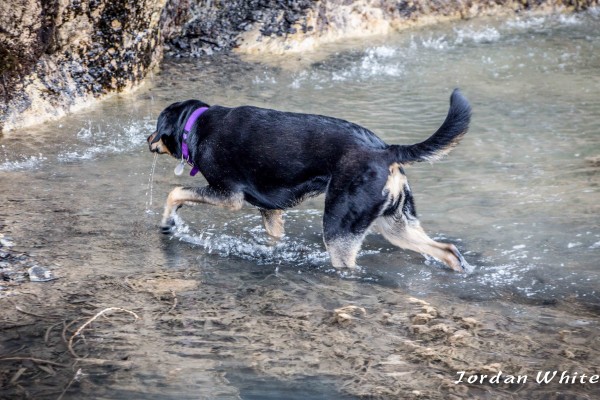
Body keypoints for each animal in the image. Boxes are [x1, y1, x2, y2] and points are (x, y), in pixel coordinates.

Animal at [148, 89, 472, 272]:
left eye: (156, 126)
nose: (148, 139)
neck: (195, 126)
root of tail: (385, 149)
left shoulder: (228, 195)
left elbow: (175, 192)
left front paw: (168, 223)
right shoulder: (270, 211)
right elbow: (274, 238)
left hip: (340, 229)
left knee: (348, 265)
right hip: (396, 225)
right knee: (448, 250)